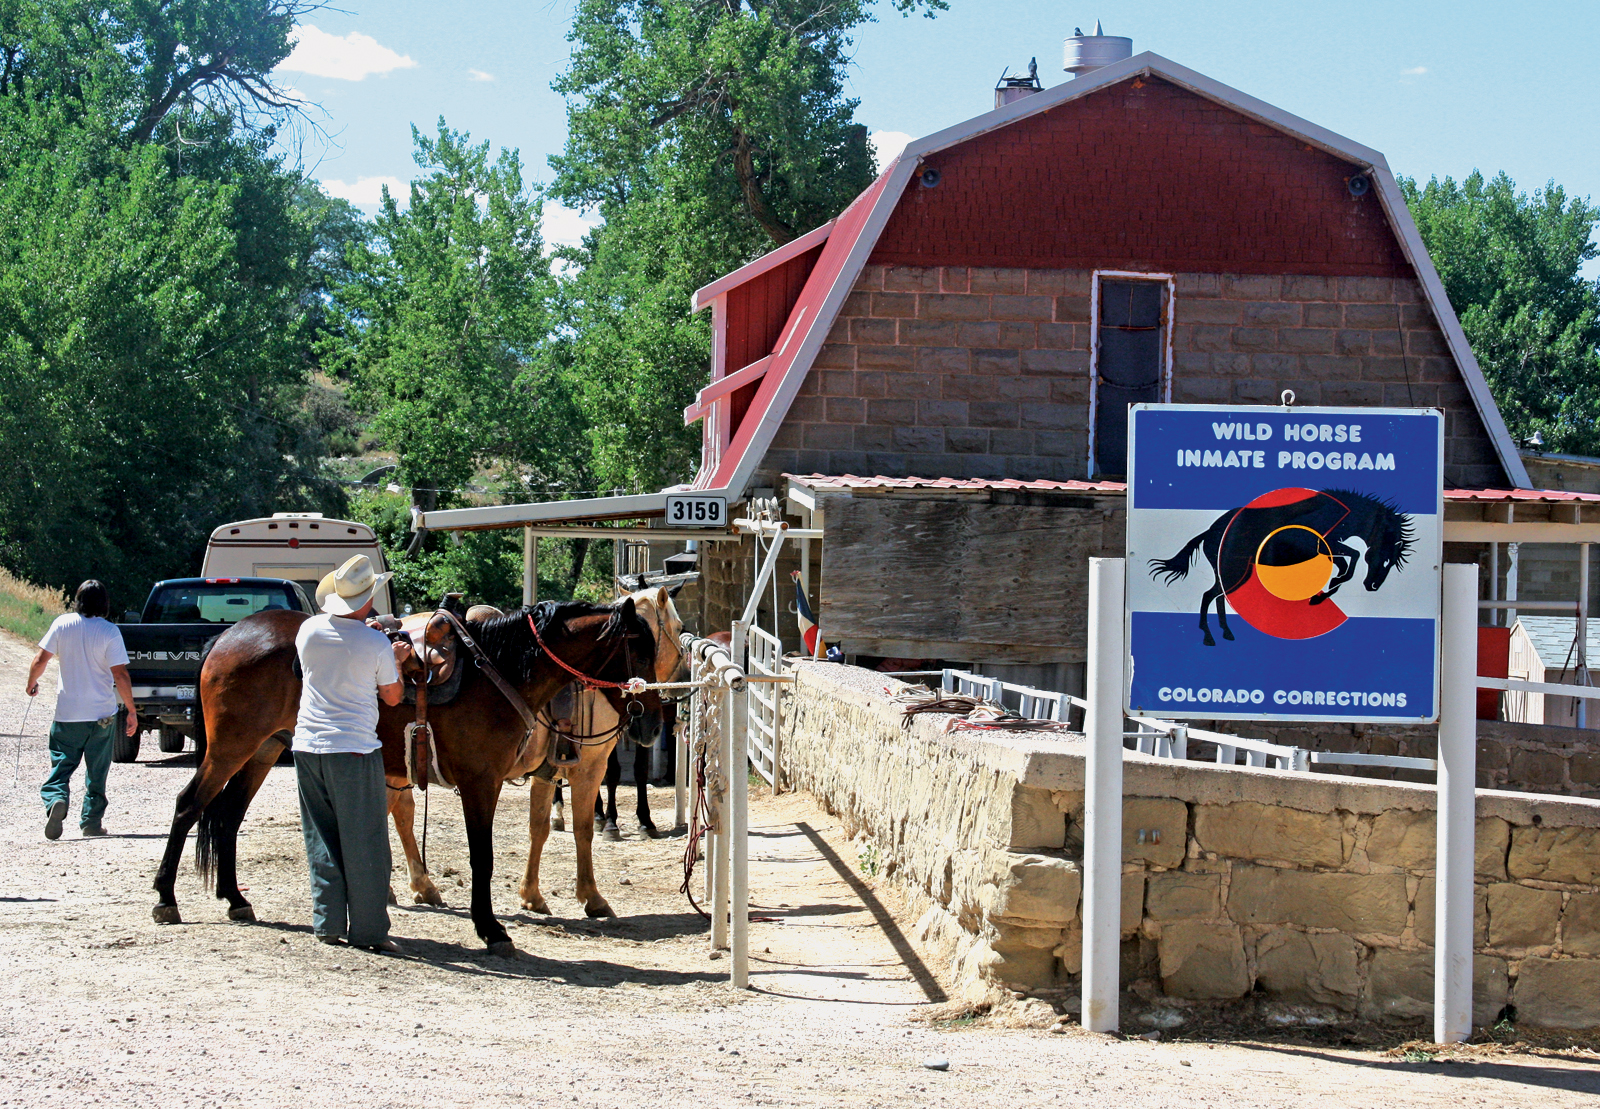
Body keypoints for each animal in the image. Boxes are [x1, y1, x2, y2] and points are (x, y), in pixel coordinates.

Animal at [152, 592, 672, 953]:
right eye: (642, 652)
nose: (651, 722)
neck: (499, 670)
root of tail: (227, 636)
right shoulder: (481, 784)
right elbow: (484, 857)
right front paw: (492, 928)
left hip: (261, 751)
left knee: (227, 817)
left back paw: (234, 898)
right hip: (230, 748)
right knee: (188, 806)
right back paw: (166, 898)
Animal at [1152, 489, 1414, 643]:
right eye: (1387, 559)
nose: (1373, 586)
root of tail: (1210, 531)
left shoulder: (1327, 548)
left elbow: (1347, 562)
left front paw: (1325, 591)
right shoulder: (1317, 544)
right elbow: (1355, 555)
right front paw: (1327, 589)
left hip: (1233, 571)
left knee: (1218, 595)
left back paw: (1226, 632)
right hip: (1235, 570)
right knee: (1210, 595)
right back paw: (1208, 635)